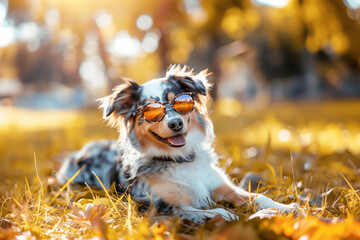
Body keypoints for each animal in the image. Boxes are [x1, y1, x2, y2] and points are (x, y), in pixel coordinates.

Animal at [57, 64, 298, 222]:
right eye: (151, 110)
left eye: (181, 102)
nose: (175, 124)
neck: (180, 160)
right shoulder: (159, 205)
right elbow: (194, 210)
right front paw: (221, 213)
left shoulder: (219, 185)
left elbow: (258, 196)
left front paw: (285, 207)